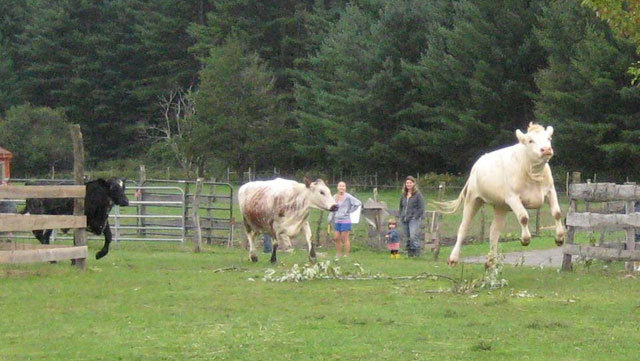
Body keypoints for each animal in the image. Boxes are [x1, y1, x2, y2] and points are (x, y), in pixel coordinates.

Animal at [436, 124, 564, 268]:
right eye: (530, 140)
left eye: (549, 138)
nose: (546, 149)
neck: (533, 172)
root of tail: (476, 164)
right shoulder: (513, 197)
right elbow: (524, 217)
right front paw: (525, 239)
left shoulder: (550, 191)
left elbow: (557, 213)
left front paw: (559, 238)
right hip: (473, 199)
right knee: (463, 228)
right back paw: (453, 258)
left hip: (501, 206)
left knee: (494, 231)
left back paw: (490, 261)